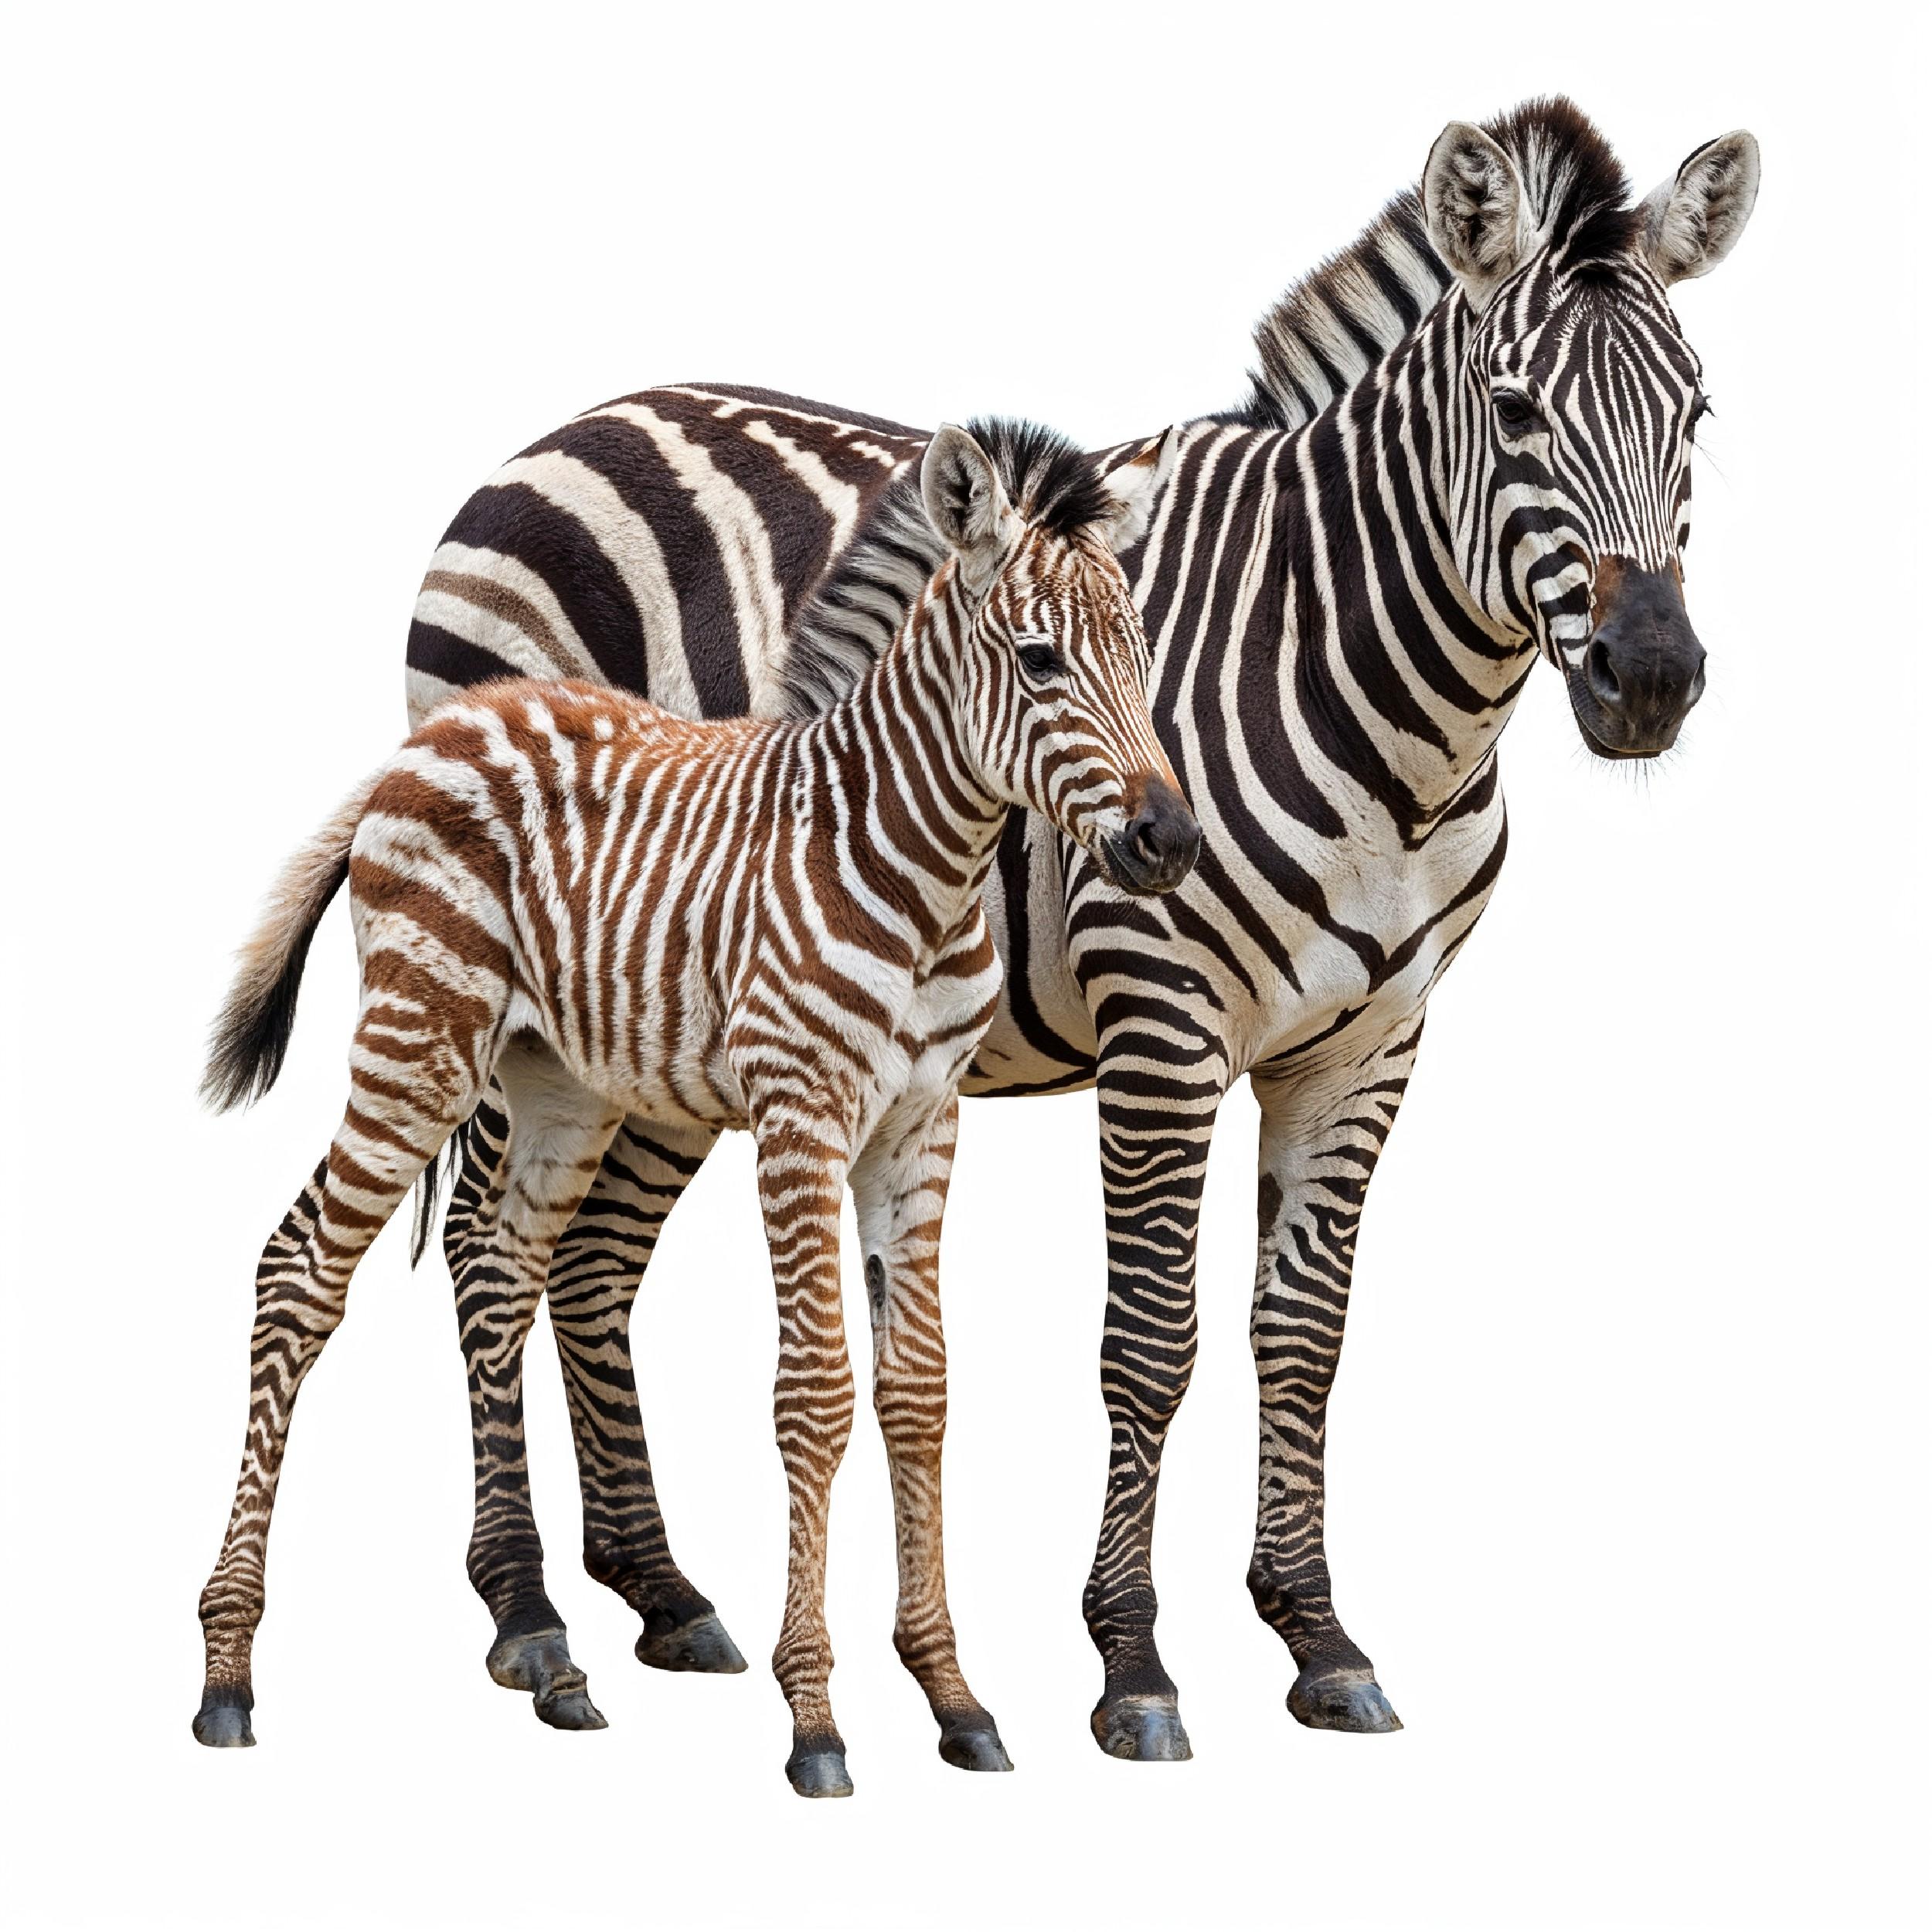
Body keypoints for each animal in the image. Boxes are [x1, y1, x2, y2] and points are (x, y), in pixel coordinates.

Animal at [192, 419, 1198, 1799]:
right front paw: (816, 1719)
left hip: (555, 1083)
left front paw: (954, 1698)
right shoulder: (801, 1112)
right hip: (420, 1041)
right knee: (299, 1271)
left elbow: (920, 1390)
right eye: (1040, 659)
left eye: (1145, 658)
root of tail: (439, 731)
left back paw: (550, 1658)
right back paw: (228, 1674)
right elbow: (816, 1394)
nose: (1172, 843)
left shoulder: (922, 1124)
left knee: (501, 1269)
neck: (917, 869)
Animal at [398, 98, 1760, 1760]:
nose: (1651, 678)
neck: (1386, 703)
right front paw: (1133, 1660)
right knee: (487, 1252)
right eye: (1512, 413)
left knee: (587, 1260)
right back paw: (526, 1613)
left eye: (1697, 412)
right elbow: (1152, 1337)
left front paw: (1316, 1634)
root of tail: (565, 428)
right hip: (511, 980)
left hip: (651, 1010)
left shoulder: (1368, 1043)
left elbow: (1303, 1332)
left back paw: (658, 1592)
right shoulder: (1160, 1019)